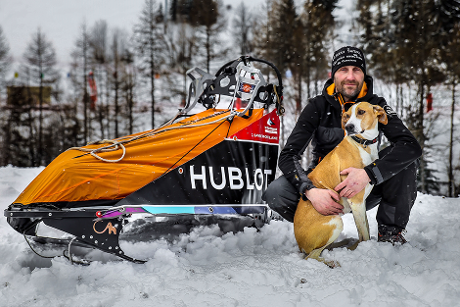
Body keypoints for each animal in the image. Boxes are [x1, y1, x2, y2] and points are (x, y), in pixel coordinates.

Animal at [292, 101, 386, 268]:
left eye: (361, 112)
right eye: (347, 116)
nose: (348, 127)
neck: (362, 144)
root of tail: (299, 244)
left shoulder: (361, 203)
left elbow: (365, 229)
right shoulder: (356, 201)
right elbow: (364, 234)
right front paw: (365, 250)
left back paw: (345, 244)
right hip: (336, 222)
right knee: (311, 256)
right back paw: (333, 261)